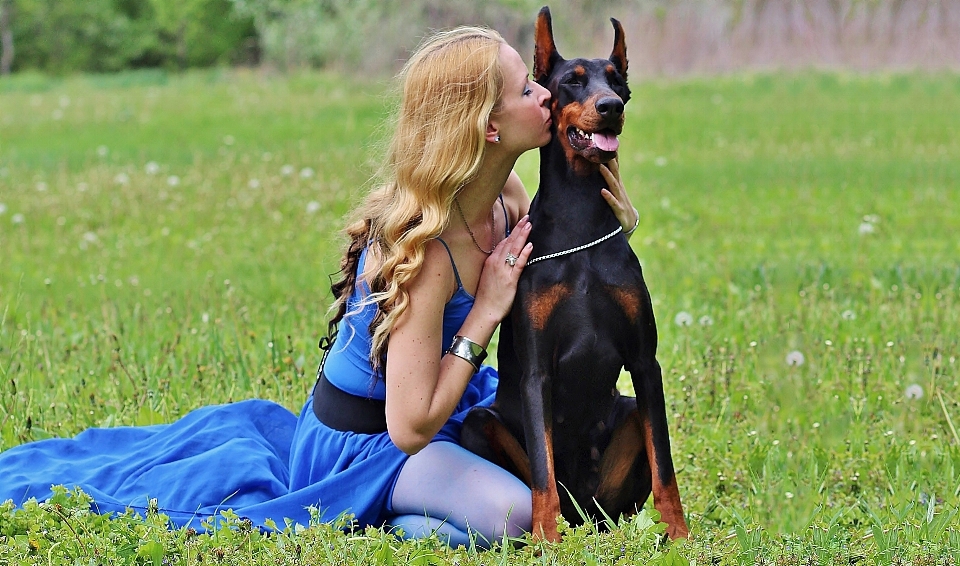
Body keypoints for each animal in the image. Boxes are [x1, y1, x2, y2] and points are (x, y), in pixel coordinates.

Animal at [460, 6, 688, 544]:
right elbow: (542, 471)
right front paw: (547, 540)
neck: (581, 223)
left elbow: (665, 465)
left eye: (617, 82)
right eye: (572, 81)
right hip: (477, 422)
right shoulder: (537, 371)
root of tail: (585, 507)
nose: (610, 107)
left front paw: (681, 536)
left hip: (626, 418)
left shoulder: (646, 365)